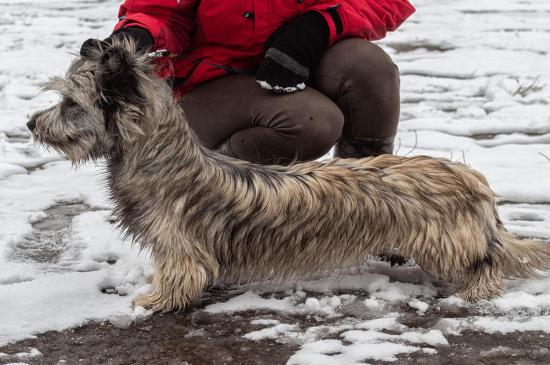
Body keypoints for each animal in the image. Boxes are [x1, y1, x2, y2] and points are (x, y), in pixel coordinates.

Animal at [28, 40, 550, 312]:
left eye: (70, 103)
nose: (31, 123)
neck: (161, 159)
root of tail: (475, 183)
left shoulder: (179, 242)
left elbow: (180, 273)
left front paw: (155, 299)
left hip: (446, 239)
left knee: (485, 262)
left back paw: (477, 289)